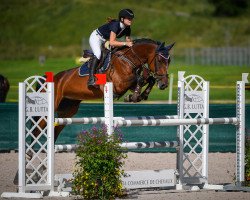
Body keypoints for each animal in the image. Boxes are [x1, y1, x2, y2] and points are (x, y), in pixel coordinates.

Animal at [36, 38, 174, 141]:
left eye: (169, 61)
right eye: (160, 60)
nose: (164, 84)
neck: (128, 59)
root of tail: (49, 79)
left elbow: (148, 79)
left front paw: (139, 96)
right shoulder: (119, 85)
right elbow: (139, 79)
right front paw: (133, 97)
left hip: (68, 110)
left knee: (56, 130)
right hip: (50, 109)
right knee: (38, 129)